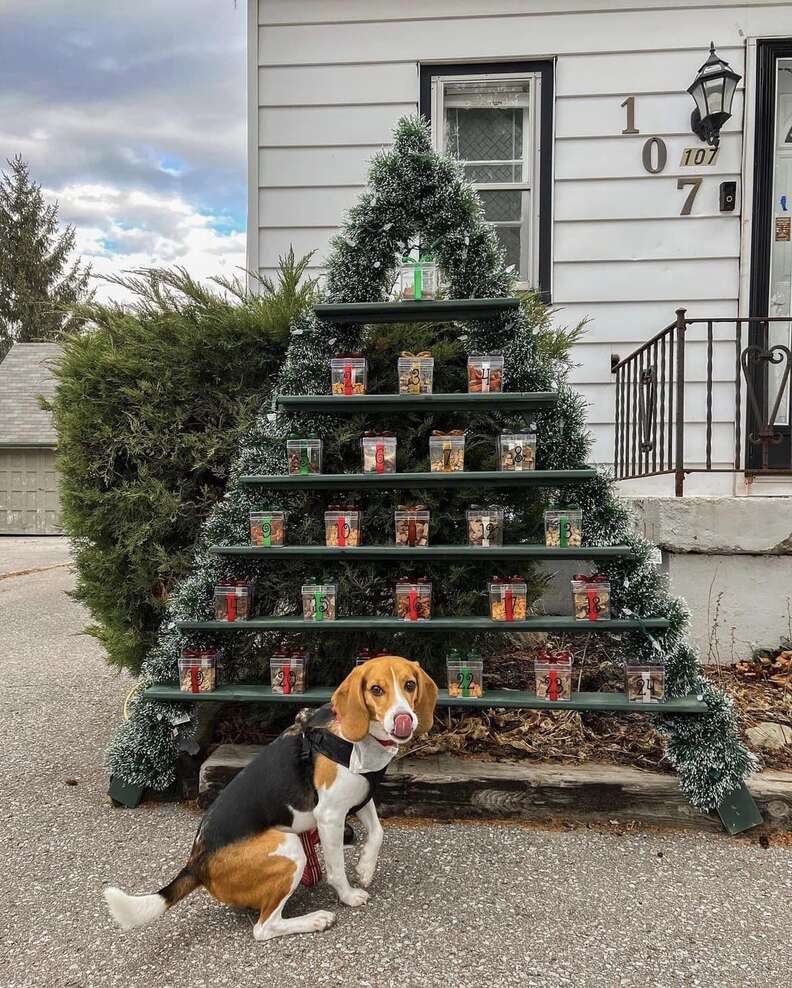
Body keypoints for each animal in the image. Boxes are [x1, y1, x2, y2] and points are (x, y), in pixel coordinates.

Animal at [102, 656, 436, 940]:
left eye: (410, 685)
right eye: (376, 689)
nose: (404, 718)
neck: (355, 740)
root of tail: (197, 863)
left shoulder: (360, 796)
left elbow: (378, 833)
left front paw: (365, 868)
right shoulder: (330, 816)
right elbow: (337, 867)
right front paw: (349, 895)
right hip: (290, 849)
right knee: (264, 928)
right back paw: (315, 919)